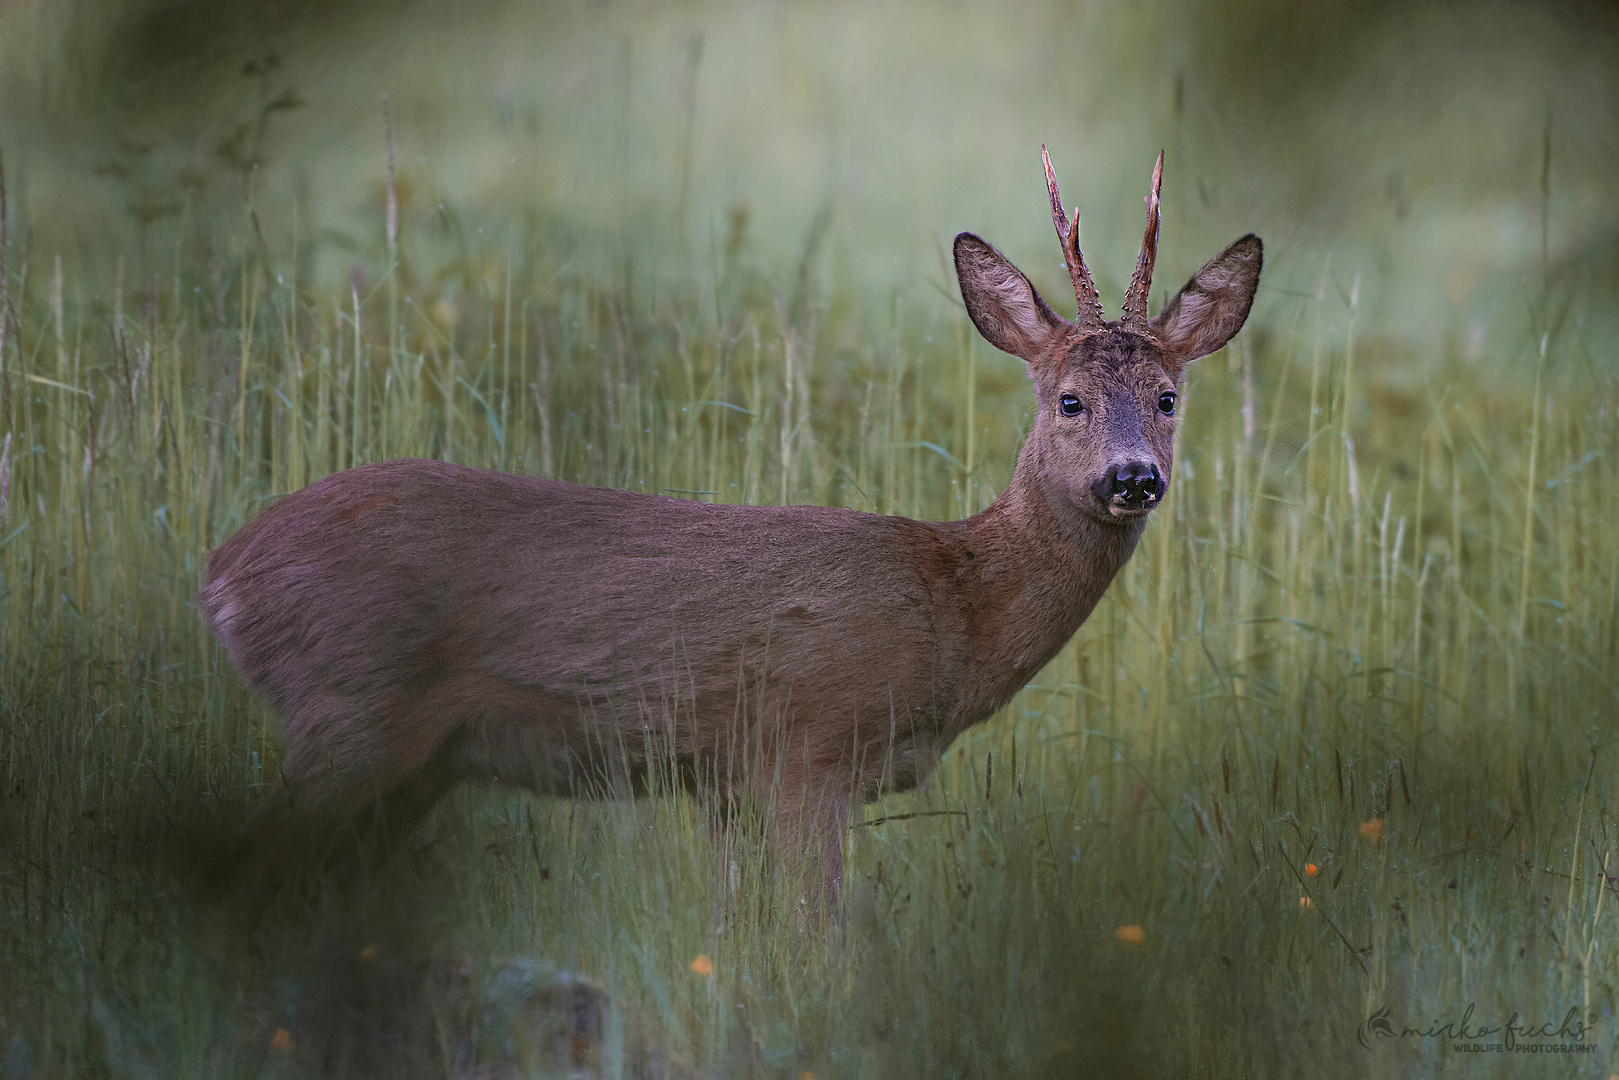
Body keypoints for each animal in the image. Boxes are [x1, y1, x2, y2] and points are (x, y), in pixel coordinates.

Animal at [199, 149, 1262, 893]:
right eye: (1068, 399)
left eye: (1168, 397)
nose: (1132, 478)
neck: (955, 608)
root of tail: (222, 574)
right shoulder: (807, 747)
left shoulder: (724, 782)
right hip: (346, 702)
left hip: (406, 761)